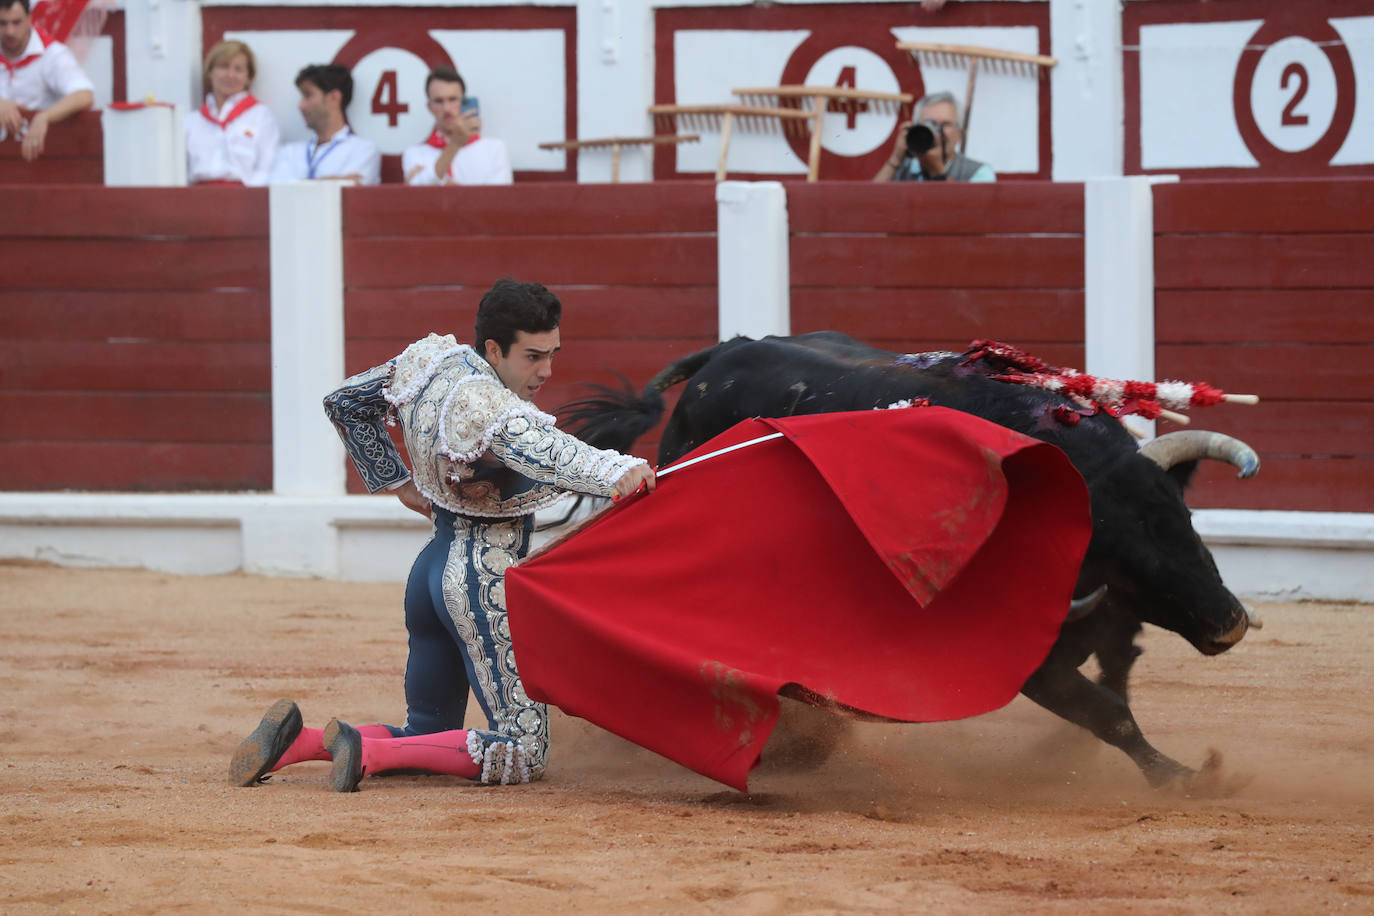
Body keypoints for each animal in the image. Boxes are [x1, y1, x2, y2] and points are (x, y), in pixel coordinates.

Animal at [563, 333, 1258, 791]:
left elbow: (1118, 671)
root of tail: (724, 352)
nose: (1228, 622)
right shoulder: (1033, 664)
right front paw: (1186, 778)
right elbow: (1110, 712)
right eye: (1123, 553)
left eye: (1180, 519)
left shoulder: (1108, 622)